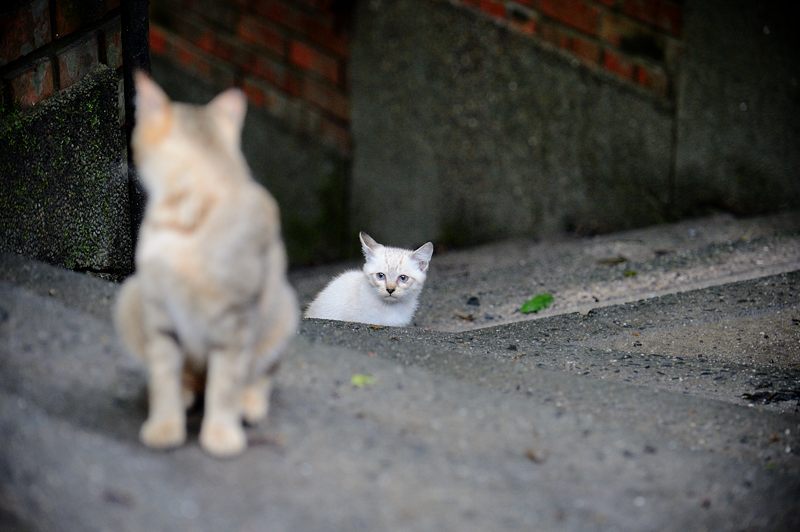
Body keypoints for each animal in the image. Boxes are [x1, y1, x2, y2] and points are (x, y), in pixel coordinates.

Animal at [114, 71, 298, 458]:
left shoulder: (237, 322)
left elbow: (225, 384)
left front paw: (221, 434)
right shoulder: (159, 312)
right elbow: (164, 375)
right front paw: (164, 427)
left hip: (284, 311)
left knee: (259, 377)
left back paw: (249, 404)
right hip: (130, 297)